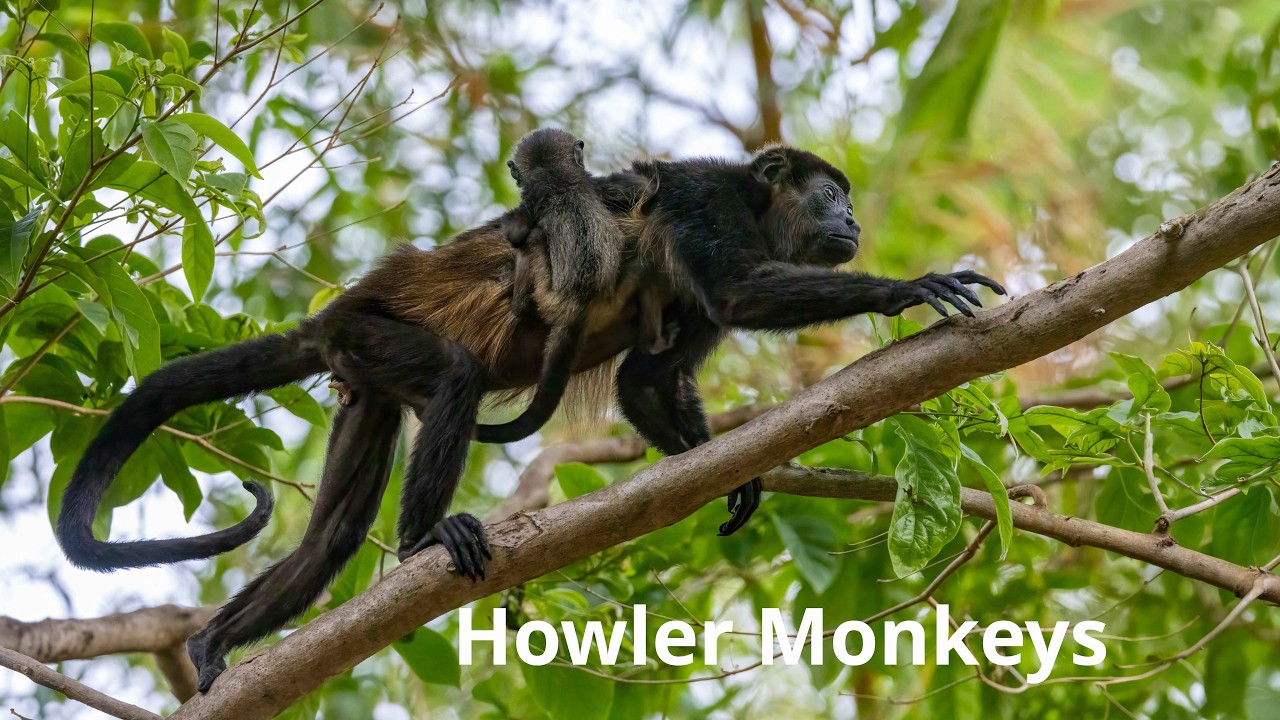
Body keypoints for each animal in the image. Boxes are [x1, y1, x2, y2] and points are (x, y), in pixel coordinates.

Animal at [54, 143, 1004, 692]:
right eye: (830, 192)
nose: (850, 216)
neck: (759, 206)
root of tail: (330, 319)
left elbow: (648, 379)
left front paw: (726, 474)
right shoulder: (705, 205)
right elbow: (737, 292)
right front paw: (909, 287)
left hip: (364, 381)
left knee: (329, 540)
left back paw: (218, 644)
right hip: (374, 332)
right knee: (455, 378)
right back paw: (423, 542)